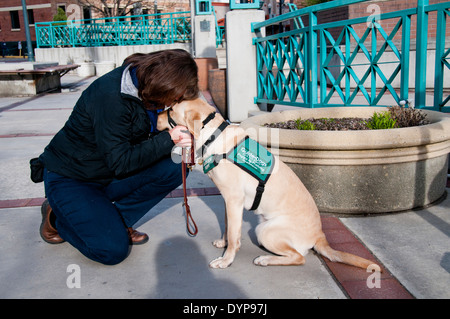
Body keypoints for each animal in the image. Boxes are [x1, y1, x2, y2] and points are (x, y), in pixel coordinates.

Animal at [156, 99, 378, 272]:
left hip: (264, 231)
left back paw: (265, 259)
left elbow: (234, 235)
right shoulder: (228, 201)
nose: (156, 116)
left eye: (171, 109)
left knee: (299, 258)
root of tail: (320, 235)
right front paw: (223, 242)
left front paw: (226, 260)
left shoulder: (234, 200)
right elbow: (228, 227)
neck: (214, 135)